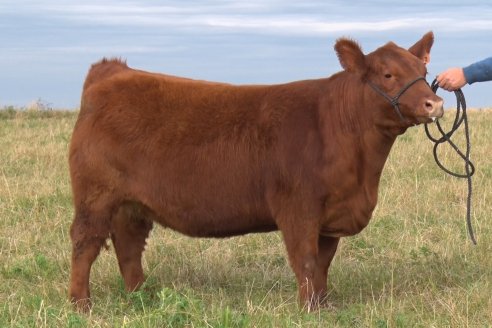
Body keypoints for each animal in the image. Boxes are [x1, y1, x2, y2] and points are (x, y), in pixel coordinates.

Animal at [68, 32, 442, 312]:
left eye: (423, 73)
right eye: (388, 74)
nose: (434, 104)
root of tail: (113, 72)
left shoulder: (332, 213)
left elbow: (323, 263)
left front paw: (323, 305)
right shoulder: (298, 209)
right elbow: (306, 261)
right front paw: (309, 310)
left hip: (131, 206)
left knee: (129, 246)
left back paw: (140, 297)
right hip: (95, 197)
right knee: (85, 244)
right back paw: (81, 305)